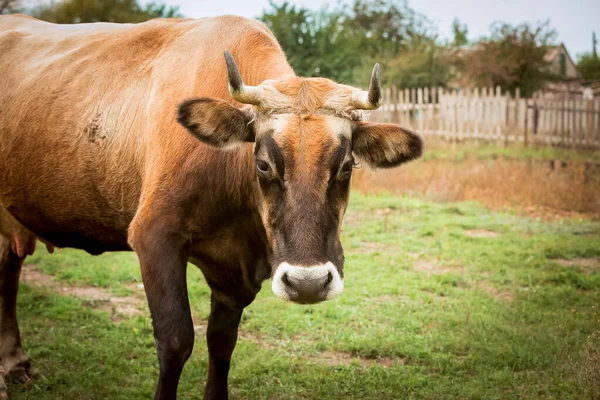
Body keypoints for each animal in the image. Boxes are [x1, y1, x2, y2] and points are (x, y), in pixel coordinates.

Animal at [0, 14, 422, 400]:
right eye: (262, 164)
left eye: (347, 165)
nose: (308, 283)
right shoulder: (154, 237)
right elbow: (175, 342)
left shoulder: (236, 273)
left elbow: (221, 343)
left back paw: (15, 363)